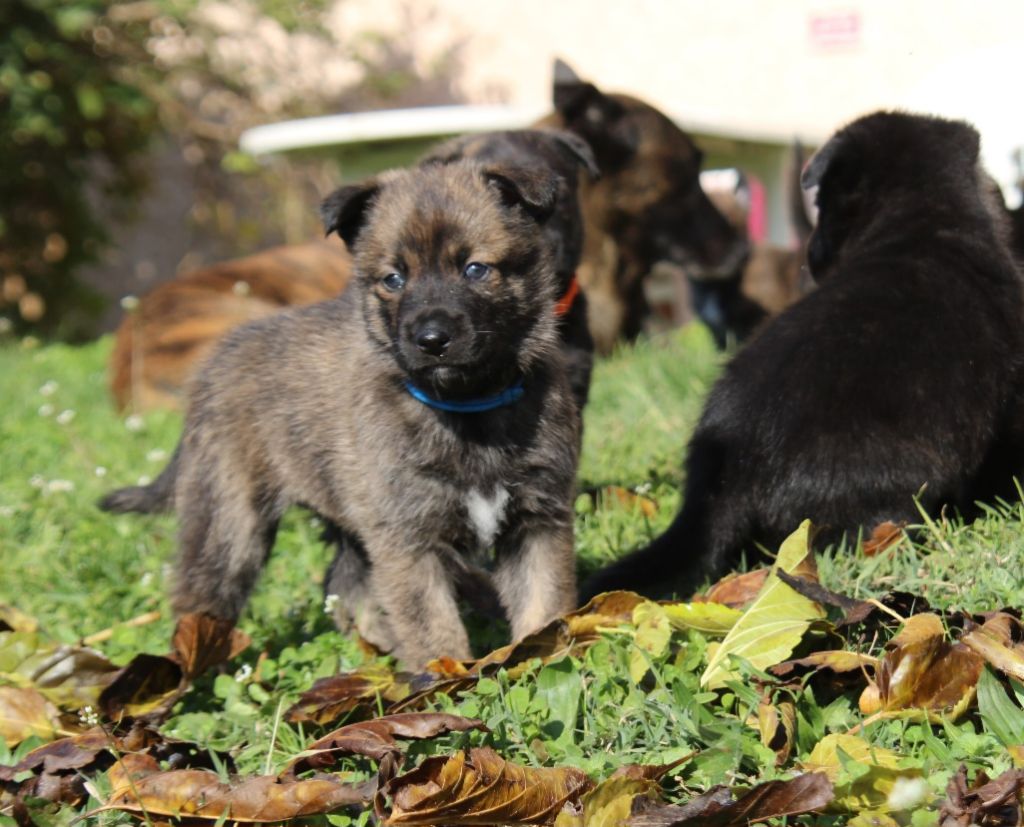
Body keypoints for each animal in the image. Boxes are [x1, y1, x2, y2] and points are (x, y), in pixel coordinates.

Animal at [105, 159, 585, 667]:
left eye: (475, 269)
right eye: (393, 279)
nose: (431, 340)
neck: (468, 407)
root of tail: (216, 360)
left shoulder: (537, 521)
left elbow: (544, 605)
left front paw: (547, 660)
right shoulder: (406, 540)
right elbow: (432, 628)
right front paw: (447, 678)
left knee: (344, 582)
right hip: (228, 522)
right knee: (199, 596)